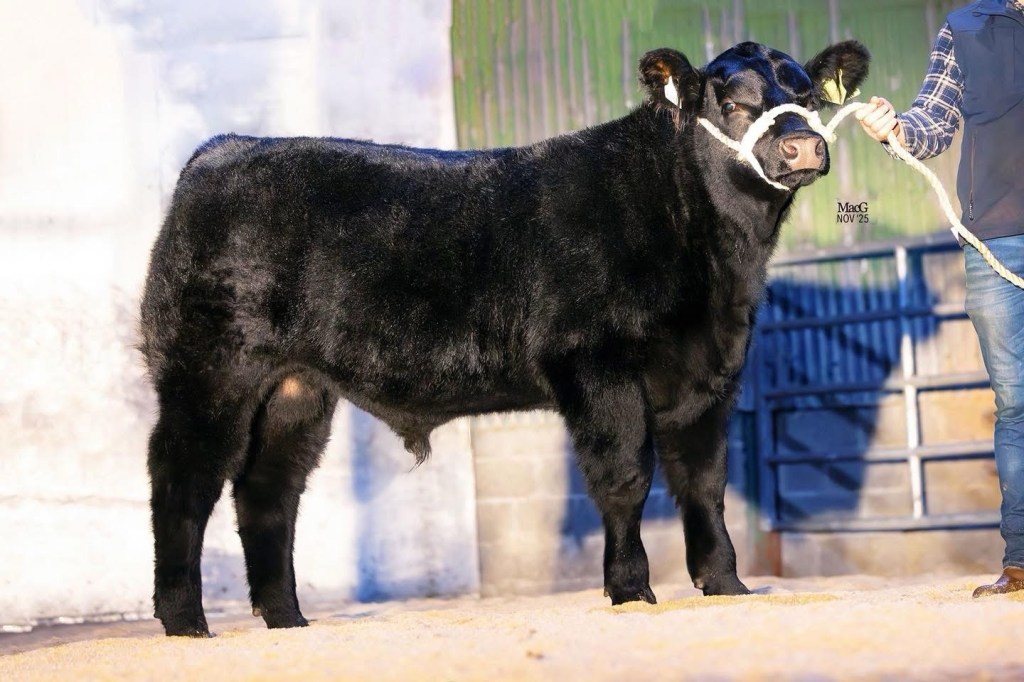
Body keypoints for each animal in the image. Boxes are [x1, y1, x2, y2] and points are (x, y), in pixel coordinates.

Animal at [140, 40, 870, 637]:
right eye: (734, 103)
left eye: (807, 96)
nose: (802, 147)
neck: (717, 262)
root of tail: (227, 147)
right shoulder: (596, 366)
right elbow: (625, 479)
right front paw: (631, 591)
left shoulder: (712, 373)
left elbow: (704, 482)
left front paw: (726, 586)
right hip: (208, 369)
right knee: (183, 479)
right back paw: (186, 623)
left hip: (295, 388)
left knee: (268, 491)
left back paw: (287, 620)